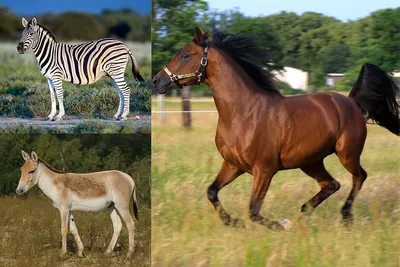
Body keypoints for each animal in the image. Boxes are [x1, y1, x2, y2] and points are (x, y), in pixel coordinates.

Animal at [152, 28, 398, 231]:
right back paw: (304, 213)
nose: (156, 81)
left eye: (185, 55)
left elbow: (253, 210)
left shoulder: (264, 170)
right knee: (331, 184)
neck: (243, 114)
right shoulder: (232, 165)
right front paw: (233, 222)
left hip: (347, 154)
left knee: (359, 177)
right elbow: (212, 192)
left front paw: (281, 224)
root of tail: (352, 102)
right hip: (310, 162)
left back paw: (344, 216)